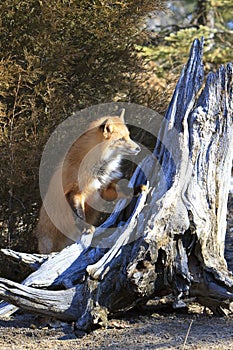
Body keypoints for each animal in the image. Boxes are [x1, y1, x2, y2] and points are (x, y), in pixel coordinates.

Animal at [35, 110, 141, 254]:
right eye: (121, 139)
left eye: (128, 137)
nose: (139, 148)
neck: (98, 168)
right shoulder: (75, 192)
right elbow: (79, 215)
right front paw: (86, 228)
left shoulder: (103, 189)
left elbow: (123, 191)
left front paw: (138, 189)